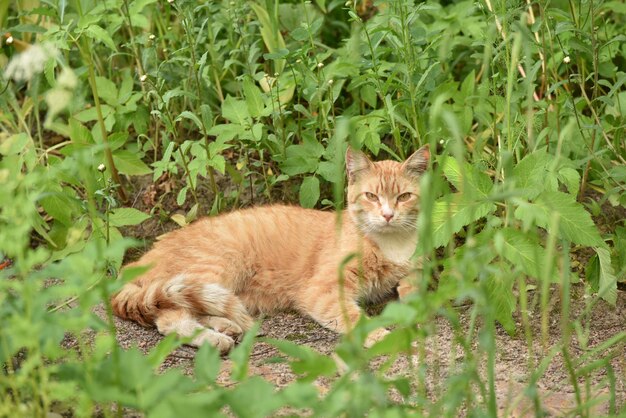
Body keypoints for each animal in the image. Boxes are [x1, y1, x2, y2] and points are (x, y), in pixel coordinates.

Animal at [109, 147, 426, 352]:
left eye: (404, 196)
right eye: (371, 196)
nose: (388, 215)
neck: (391, 244)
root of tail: (134, 263)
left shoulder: (415, 273)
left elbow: (414, 292)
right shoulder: (322, 292)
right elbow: (358, 320)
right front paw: (386, 337)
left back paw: (224, 325)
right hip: (217, 266)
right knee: (169, 320)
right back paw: (215, 340)